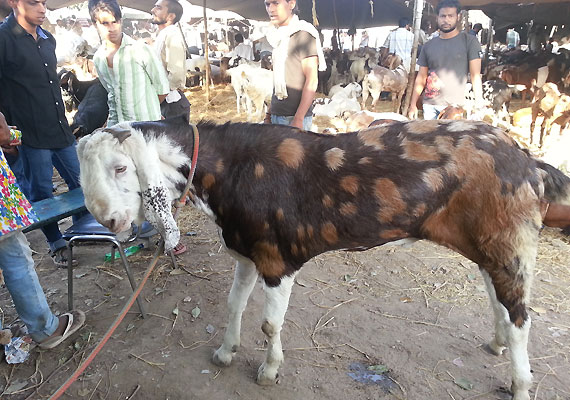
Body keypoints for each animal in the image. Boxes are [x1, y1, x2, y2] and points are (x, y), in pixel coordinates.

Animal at [76, 116, 568, 400]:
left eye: (121, 167)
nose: (110, 220)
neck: (231, 167)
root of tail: (529, 162)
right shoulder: (246, 253)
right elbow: (234, 305)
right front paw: (225, 352)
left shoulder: (277, 261)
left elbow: (269, 323)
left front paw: (268, 370)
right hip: (489, 244)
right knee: (497, 297)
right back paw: (497, 342)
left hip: (510, 242)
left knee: (522, 316)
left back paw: (520, 384)